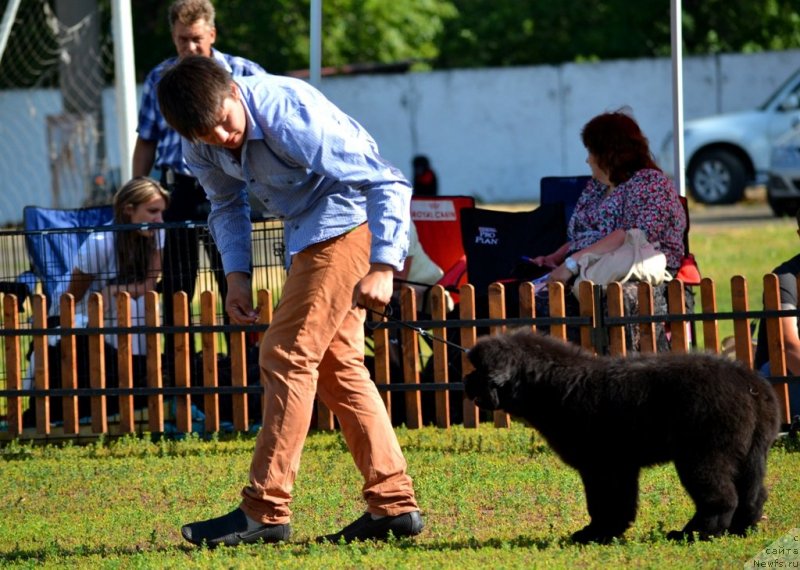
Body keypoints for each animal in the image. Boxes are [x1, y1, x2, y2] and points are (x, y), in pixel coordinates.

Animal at [462, 328, 780, 540]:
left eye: (480, 371)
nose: (465, 380)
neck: (553, 385)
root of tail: (751, 384)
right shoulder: (621, 465)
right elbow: (622, 502)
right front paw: (607, 532)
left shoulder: (600, 465)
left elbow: (602, 501)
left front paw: (594, 533)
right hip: (751, 454)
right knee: (754, 493)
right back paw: (740, 529)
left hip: (702, 456)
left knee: (721, 497)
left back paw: (693, 533)